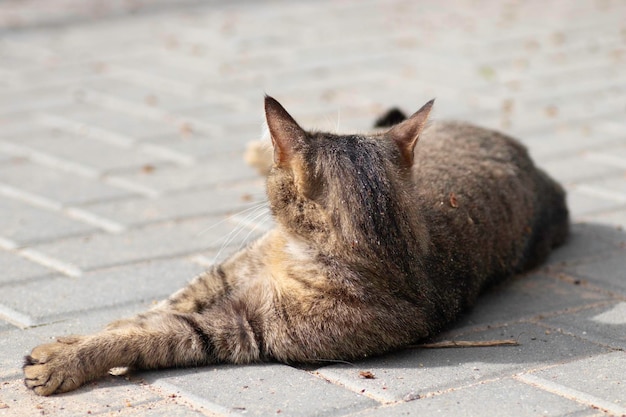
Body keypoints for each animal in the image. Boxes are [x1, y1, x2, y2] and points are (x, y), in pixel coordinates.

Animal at [22, 96, 564, 394]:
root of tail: (544, 175)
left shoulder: (239, 332)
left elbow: (153, 331)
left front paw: (66, 358)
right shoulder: (234, 267)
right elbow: (160, 307)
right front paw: (85, 336)